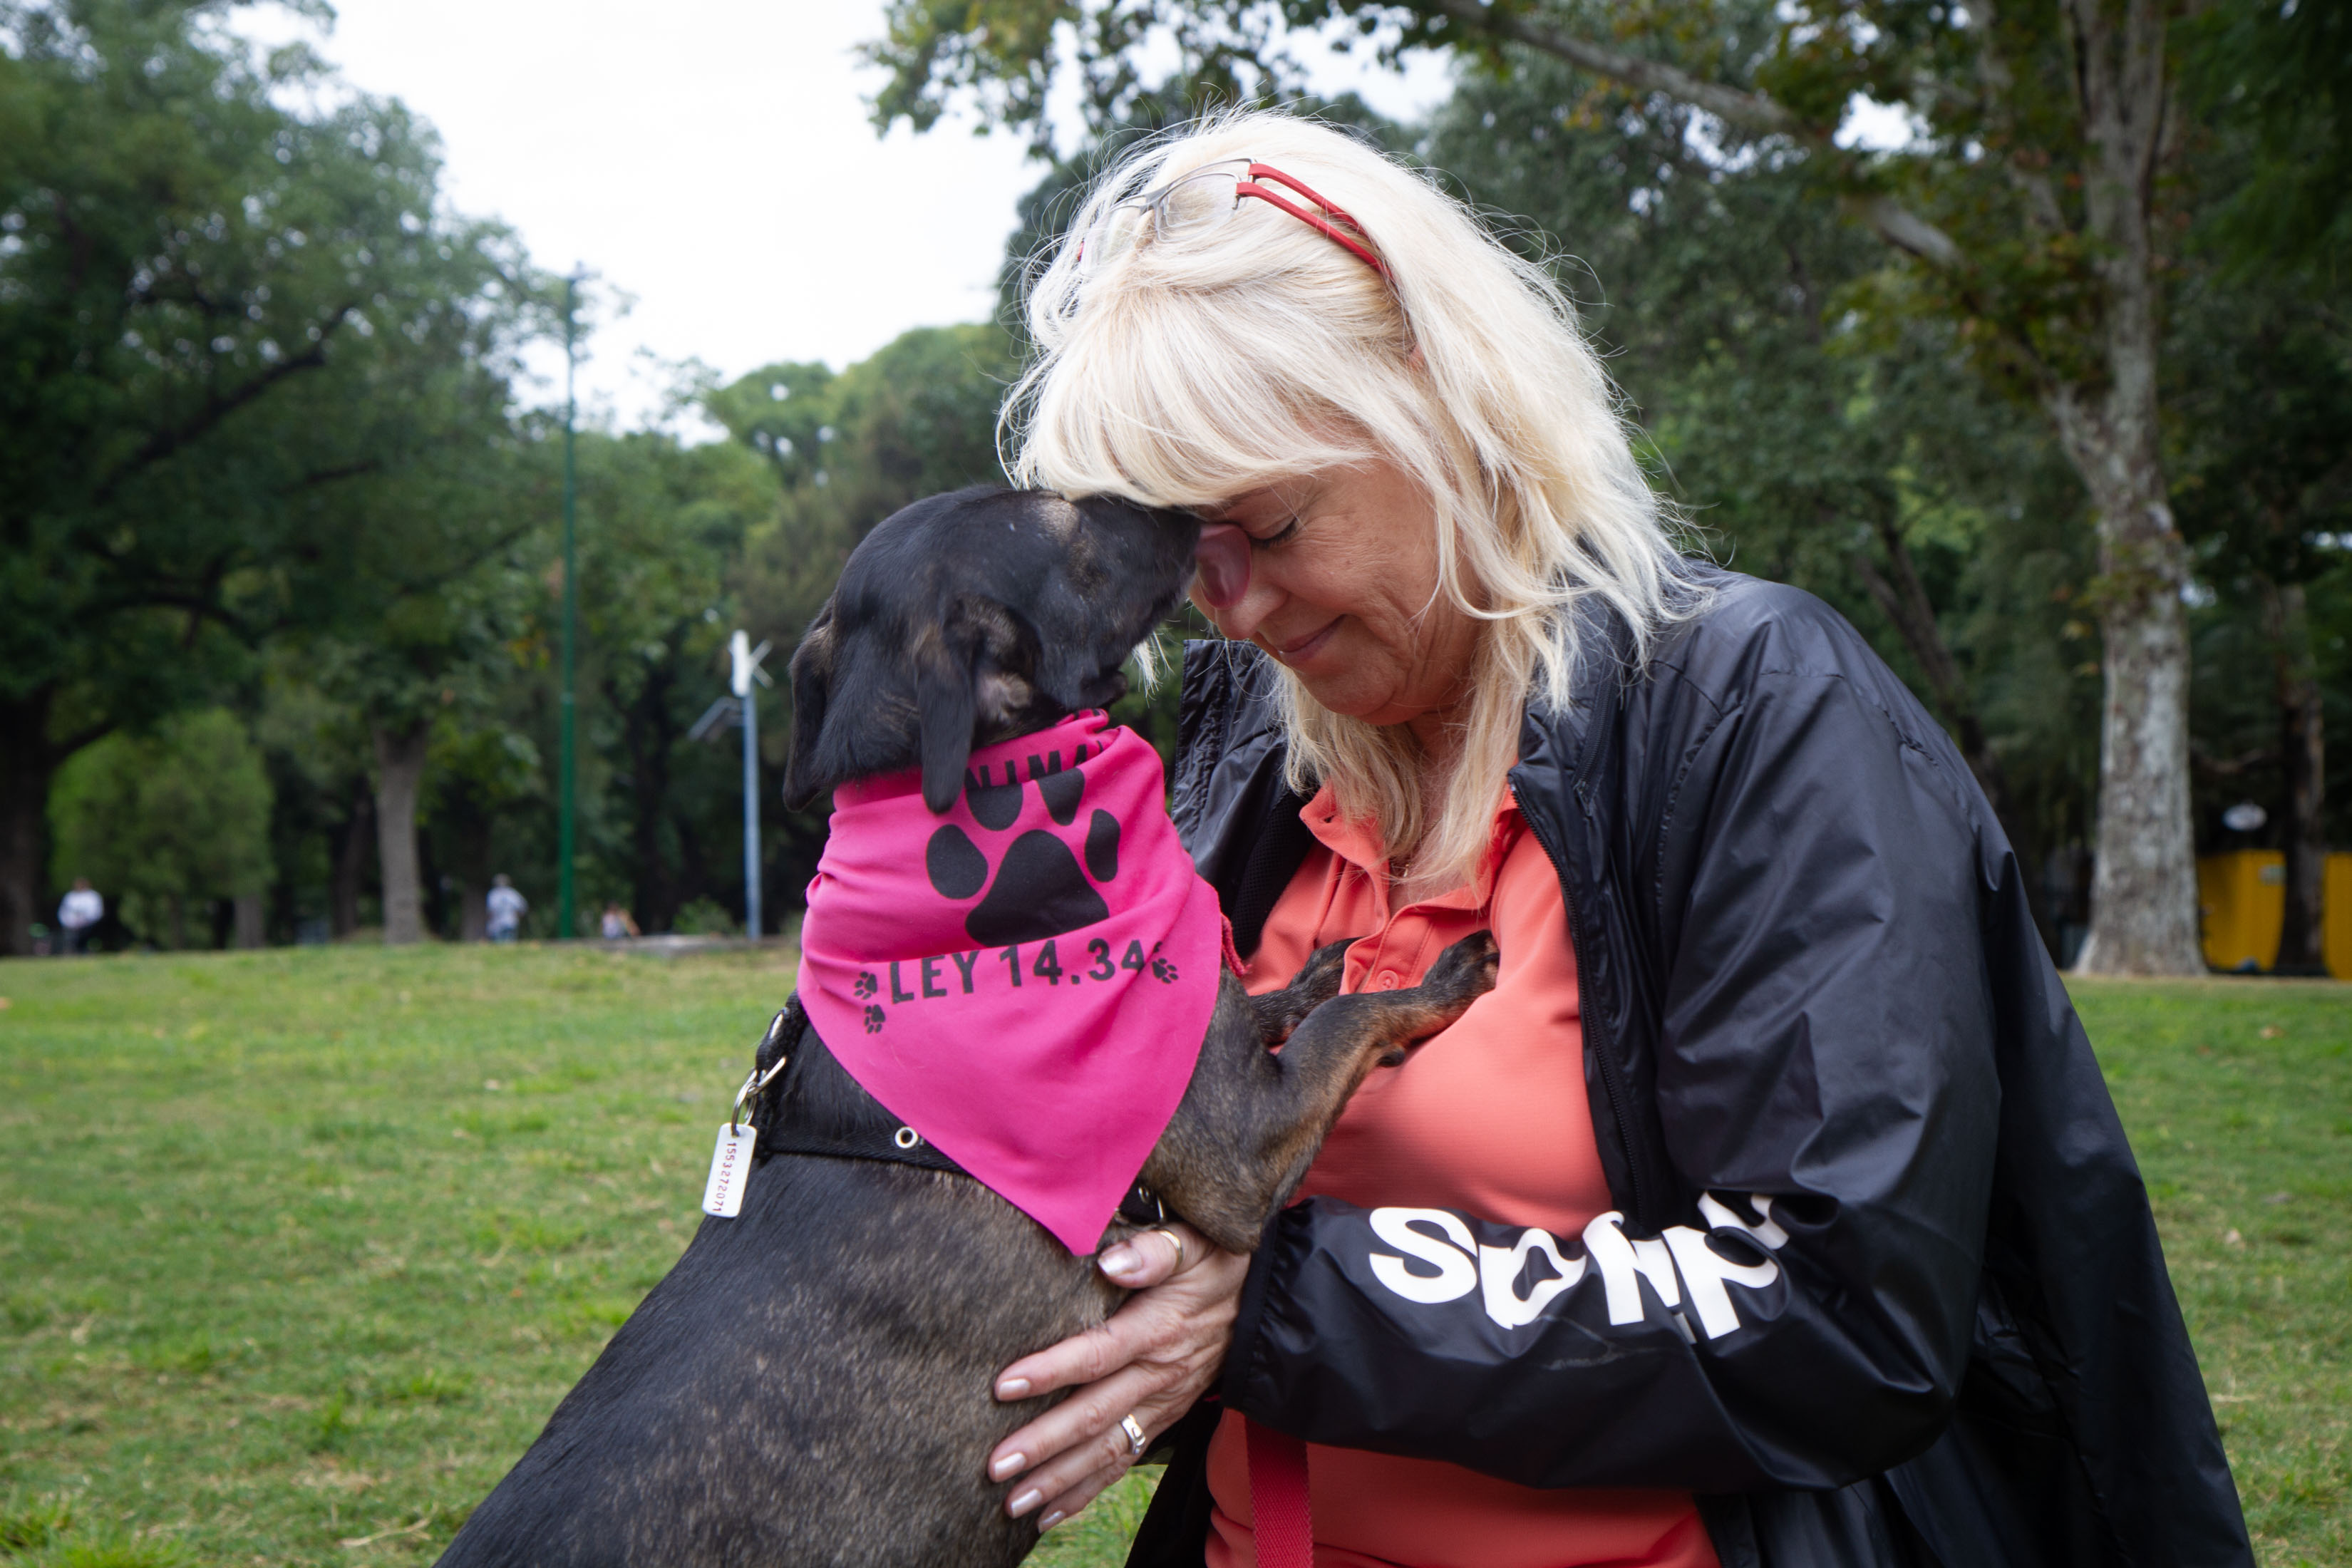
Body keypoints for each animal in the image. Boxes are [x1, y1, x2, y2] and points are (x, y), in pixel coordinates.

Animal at [435, 487, 1497, 1566]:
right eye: (1064, 520)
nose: (1192, 510)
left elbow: (1274, 995)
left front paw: (1316, 965)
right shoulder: (1240, 1152)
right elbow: (1344, 1023)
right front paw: (1439, 976)